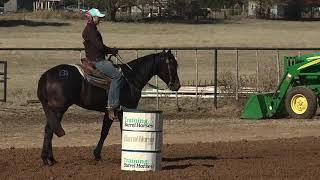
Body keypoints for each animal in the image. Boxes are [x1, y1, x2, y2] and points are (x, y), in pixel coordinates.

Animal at [37, 50, 180, 165]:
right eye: (172, 64)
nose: (177, 85)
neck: (131, 77)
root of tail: (46, 75)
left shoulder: (110, 111)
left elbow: (104, 132)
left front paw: (97, 154)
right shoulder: (124, 110)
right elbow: (122, 131)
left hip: (54, 110)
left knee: (50, 129)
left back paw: (51, 158)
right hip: (58, 109)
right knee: (49, 130)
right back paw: (46, 159)